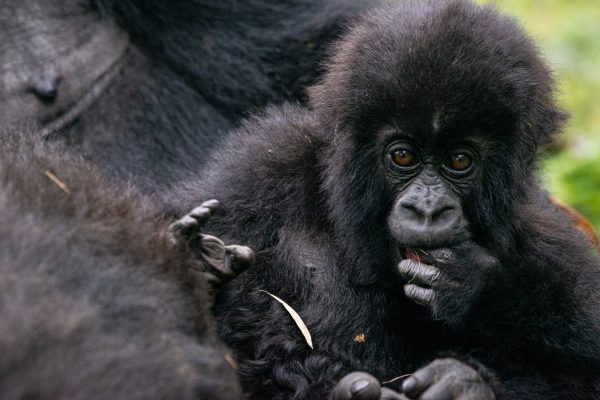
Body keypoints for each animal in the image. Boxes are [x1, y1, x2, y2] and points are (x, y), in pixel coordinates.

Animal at [166, 0, 600, 400]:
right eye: (403, 156)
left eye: (459, 160)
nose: (428, 209)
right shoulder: (258, 169)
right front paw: (198, 265)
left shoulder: (549, 234)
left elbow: (583, 365)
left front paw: (481, 307)